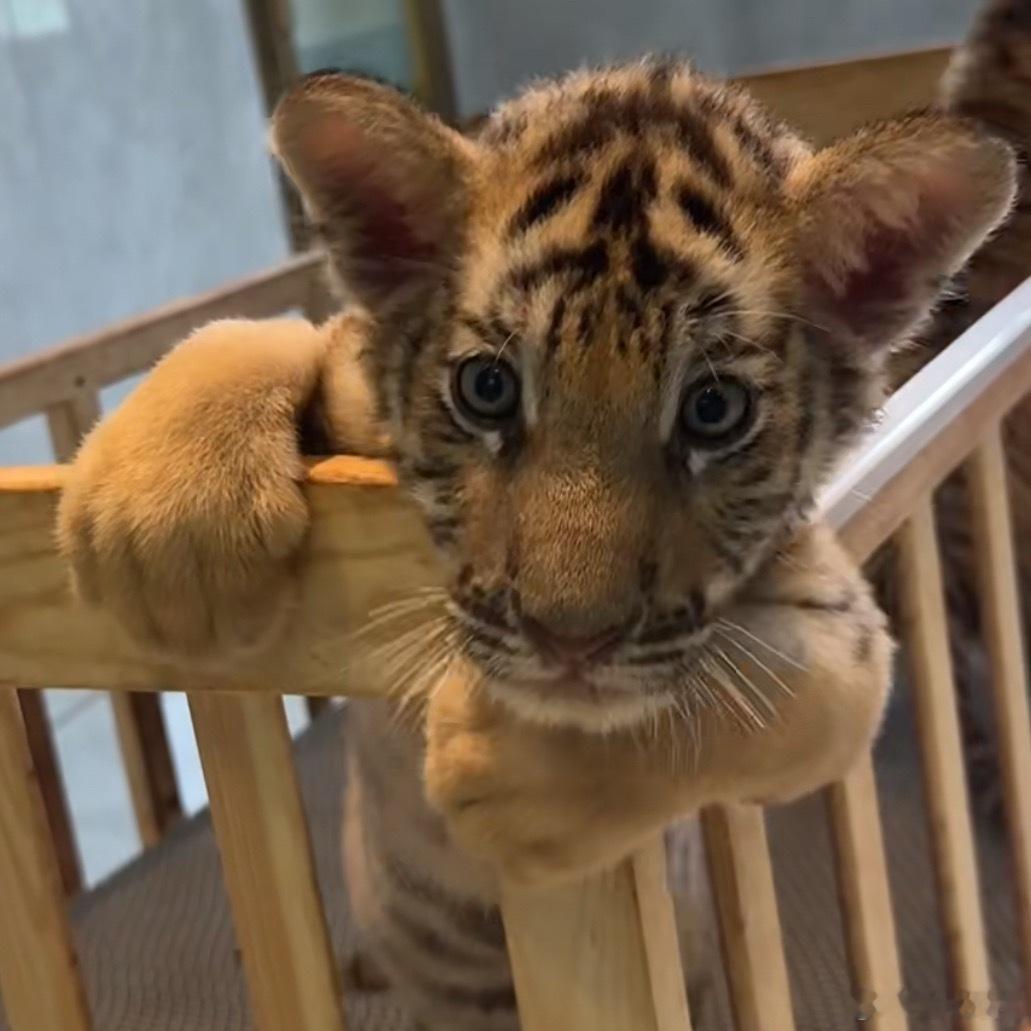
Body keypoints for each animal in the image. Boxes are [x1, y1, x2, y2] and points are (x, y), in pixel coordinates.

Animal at [56, 9, 1020, 1030]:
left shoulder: (845, 621)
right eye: (487, 389)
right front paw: (158, 528)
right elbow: (263, 332)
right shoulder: (349, 362)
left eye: (712, 411)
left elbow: (788, 692)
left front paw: (512, 774)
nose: (568, 640)